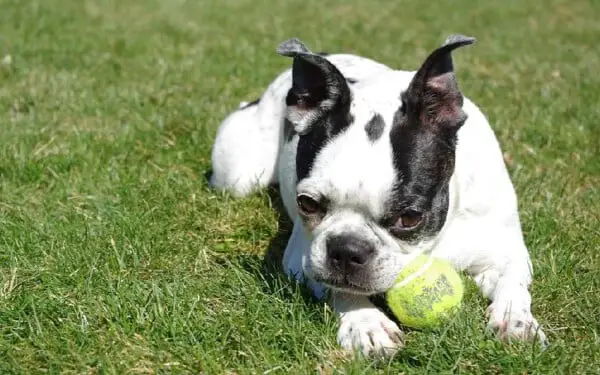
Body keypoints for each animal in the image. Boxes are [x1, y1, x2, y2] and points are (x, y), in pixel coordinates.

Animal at [211, 36, 548, 358]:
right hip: (240, 177)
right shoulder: (302, 259)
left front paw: (516, 322)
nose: (346, 250)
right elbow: (341, 288)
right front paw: (366, 323)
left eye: (410, 217)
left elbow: (513, 284)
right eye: (306, 203)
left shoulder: (506, 253)